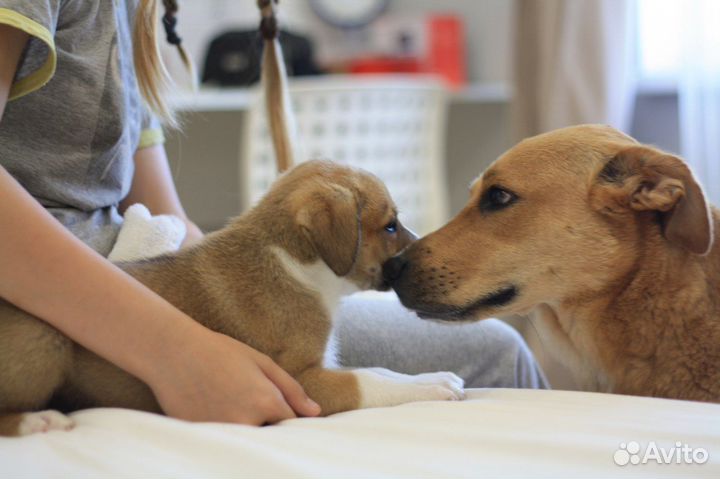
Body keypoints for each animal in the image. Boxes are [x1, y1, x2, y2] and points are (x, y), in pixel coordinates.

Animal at [0, 159, 462, 436]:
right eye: (390, 226)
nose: (414, 261)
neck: (293, 261)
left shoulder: (320, 366)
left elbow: (381, 370)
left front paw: (433, 377)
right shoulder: (299, 380)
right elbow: (366, 381)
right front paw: (432, 388)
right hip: (45, 338)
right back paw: (37, 420)